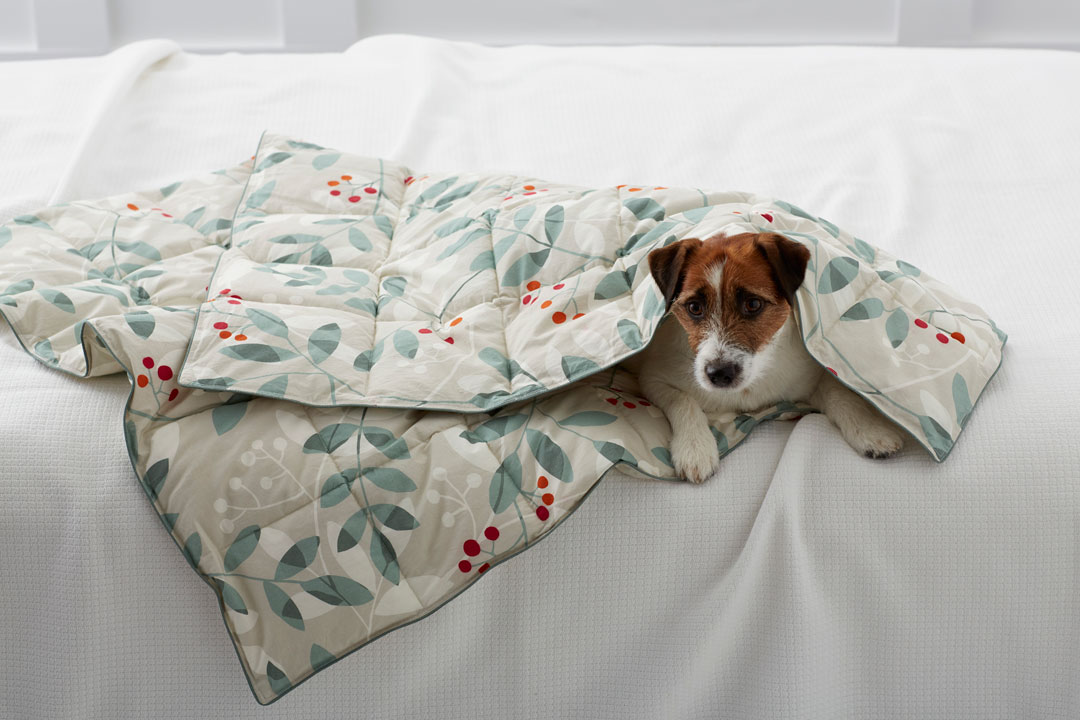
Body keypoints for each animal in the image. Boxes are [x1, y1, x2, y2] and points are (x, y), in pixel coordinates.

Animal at [630, 231, 902, 483]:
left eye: (753, 304)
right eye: (694, 307)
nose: (719, 374)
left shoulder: (808, 376)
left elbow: (839, 392)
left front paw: (870, 429)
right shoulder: (652, 378)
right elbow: (683, 400)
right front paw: (694, 448)